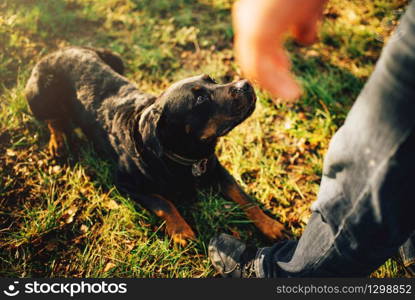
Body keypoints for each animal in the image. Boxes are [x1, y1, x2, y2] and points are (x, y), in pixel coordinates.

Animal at [25, 46, 286, 244]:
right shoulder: (124, 183)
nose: (245, 84)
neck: (184, 155)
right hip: (38, 96)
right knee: (53, 119)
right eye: (200, 98)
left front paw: (270, 225)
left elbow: (244, 197)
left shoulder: (216, 168)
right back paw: (58, 142)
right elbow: (164, 202)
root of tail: (59, 50)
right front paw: (181, 231)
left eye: (212, 80)